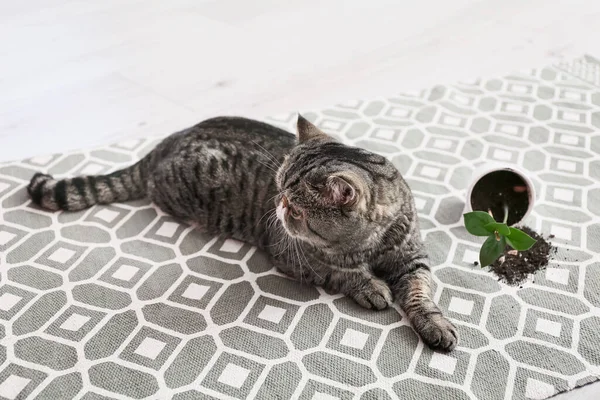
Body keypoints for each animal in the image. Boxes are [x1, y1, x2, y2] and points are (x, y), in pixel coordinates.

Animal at [28, 115, 458, 350]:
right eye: (278, 187)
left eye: (296, 207)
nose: (278, 207)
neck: (370, 244)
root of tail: (163, 144)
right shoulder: (293, 255)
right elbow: (342, 272)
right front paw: (371, 287)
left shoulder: (413, 259)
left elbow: (420, 295)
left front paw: (435, 325)